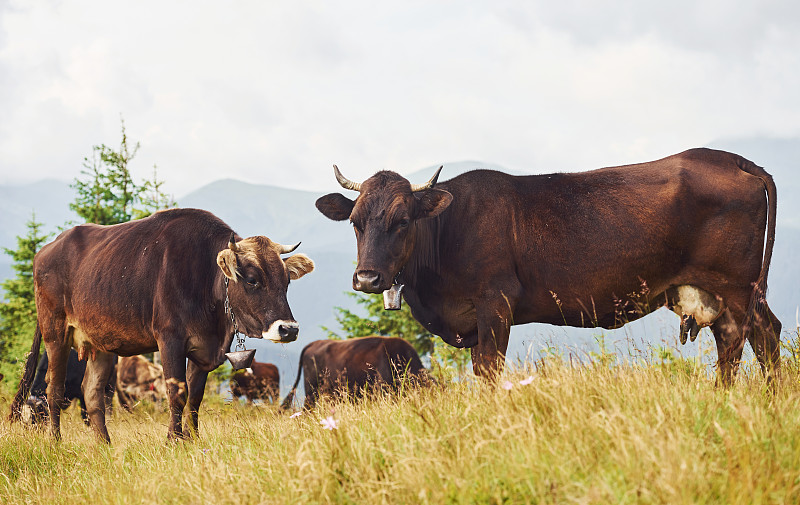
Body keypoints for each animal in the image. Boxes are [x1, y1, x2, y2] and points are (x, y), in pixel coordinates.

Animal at [10, 207, 316, 440]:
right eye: (252, 280)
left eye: (286, 281)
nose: (289, 329)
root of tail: (45, 251)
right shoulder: (170, 340)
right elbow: (176, 393)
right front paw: (174, 440)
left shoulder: (203, 350)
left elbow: (195, 397)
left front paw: (194, 440)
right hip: (55, 333)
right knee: (54, 390)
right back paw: (56, 442)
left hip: (101, 344)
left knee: (93, 394)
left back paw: (104, 446)